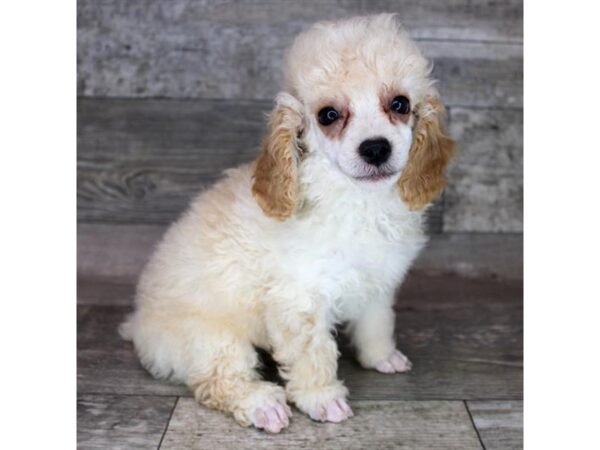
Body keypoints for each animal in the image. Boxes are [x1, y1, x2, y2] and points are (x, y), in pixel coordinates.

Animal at [118, 14, 454, 434]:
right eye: (329, 115)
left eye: (400, 104)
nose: (376, 148)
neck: (357, 200)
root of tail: (138, 325)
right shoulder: (299, 300)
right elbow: (313, 355)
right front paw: (323, 399)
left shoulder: (377, 282)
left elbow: (377, 323)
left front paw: (381, 357)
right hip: (211, 340)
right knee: (218, 380)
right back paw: (262, 404)